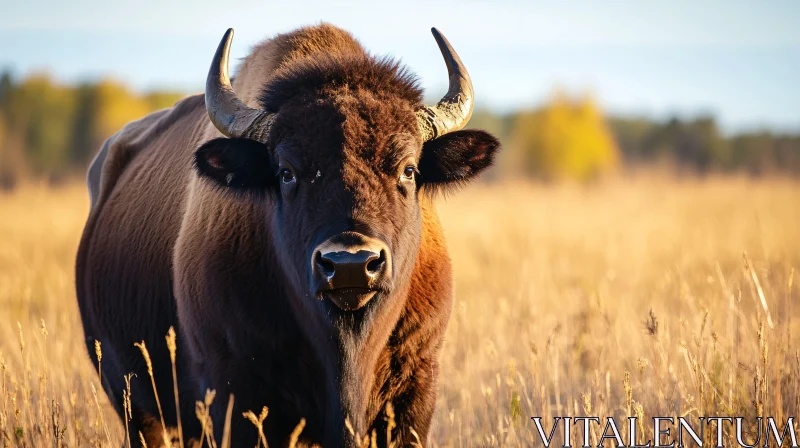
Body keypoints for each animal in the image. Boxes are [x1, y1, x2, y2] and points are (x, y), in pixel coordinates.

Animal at [76, 25, 500, 448]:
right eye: (286, 172)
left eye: (408, 170)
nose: (350, 264)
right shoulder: (235, 393)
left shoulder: (415, 386)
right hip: (137, 407)